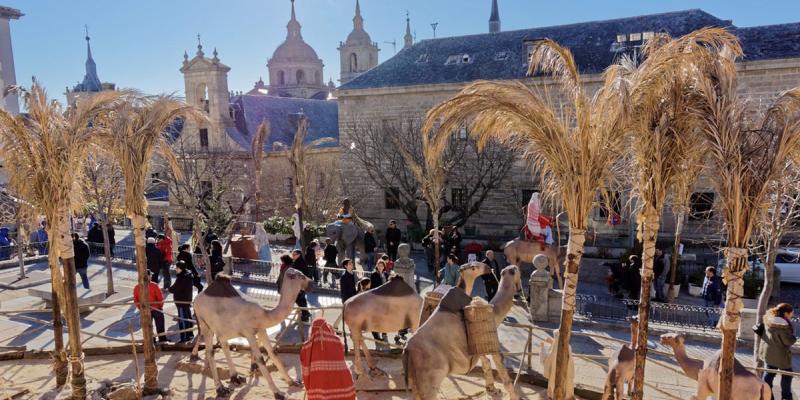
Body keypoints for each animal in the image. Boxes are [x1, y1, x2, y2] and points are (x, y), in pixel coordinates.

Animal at [189, 270, 310, 398]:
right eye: (301, 276)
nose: (311, 282)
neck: (265, 315)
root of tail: (195, 300)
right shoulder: (249, 333)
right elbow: (260, 359)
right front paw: (278, 393)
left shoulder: (261, 330)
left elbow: (273, 353)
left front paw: (293, 382)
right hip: (205, 324)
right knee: (210, 351)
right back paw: (221, 389)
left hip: (221, 329)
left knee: (224, 345)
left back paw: (236, 378)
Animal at [406, 264, 524, 398]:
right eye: (516, 270)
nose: (488, 267)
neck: (494, 311)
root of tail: (408, 350)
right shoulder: (492, 342)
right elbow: (504, 373)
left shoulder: (478, 344)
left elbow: (486, 363)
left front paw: (492, 390)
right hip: (429, 376)